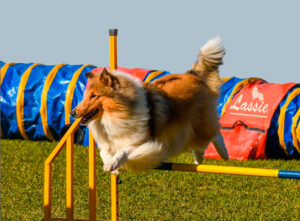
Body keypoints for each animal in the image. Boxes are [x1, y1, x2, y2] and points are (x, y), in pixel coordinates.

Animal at [71, 37, 229, 173]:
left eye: (94, 96)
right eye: (86, 95)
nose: (72, 113)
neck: (113, 115)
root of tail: (192, 75)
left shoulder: (141, 142)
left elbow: (124, 151)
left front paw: (112, 164)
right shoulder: (109, 143)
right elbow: (104, 153)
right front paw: (112, 167)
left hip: (201, 125)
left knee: (216, 132)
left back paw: (224, 154)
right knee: (199, 146)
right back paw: (198, 161)